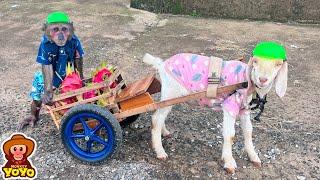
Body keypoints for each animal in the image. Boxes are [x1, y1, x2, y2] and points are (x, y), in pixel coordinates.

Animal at [142, 48, 288, 173]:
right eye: (255, 61)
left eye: (278, 64)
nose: (263, 80)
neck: (244, 81)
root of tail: (161, 64)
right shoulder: (230, 105)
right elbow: (230, 135)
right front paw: (229, 163)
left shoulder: (244, 110)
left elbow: (248, 131)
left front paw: (254, 157)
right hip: (171, 92)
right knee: (156, 118)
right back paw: (160, 152)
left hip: (169, 96)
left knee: (159, 114)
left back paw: (164, 132)